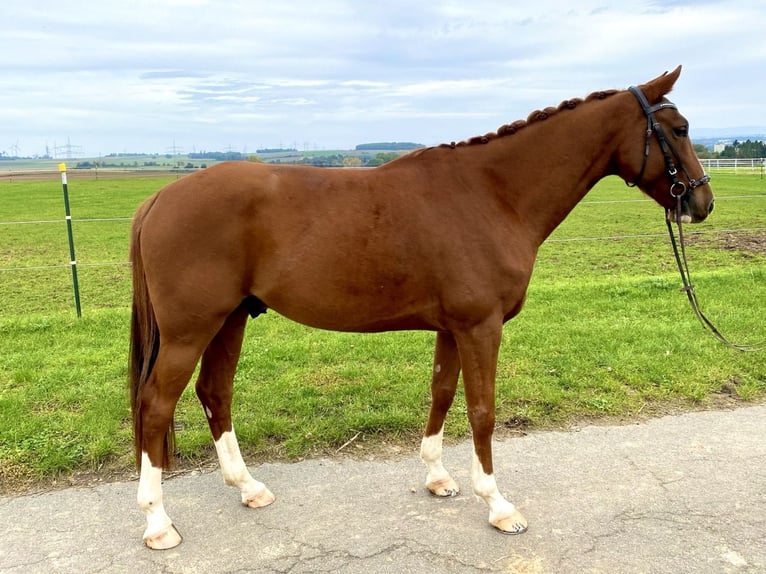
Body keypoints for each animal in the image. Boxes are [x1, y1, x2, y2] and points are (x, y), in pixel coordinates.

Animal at [130, 67, 712, 548]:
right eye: (680, 129)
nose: (701, 202)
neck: (493, 194)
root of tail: (159, 198)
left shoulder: (453, 327)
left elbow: (442, 393)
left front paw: (437, 478)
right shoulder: (481, 327)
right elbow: (482, 411)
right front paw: (497, 504)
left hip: (229, 320)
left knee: (214, 393)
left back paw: (248, 487)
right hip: (190, 331)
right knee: (156, 405)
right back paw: (157, 521)